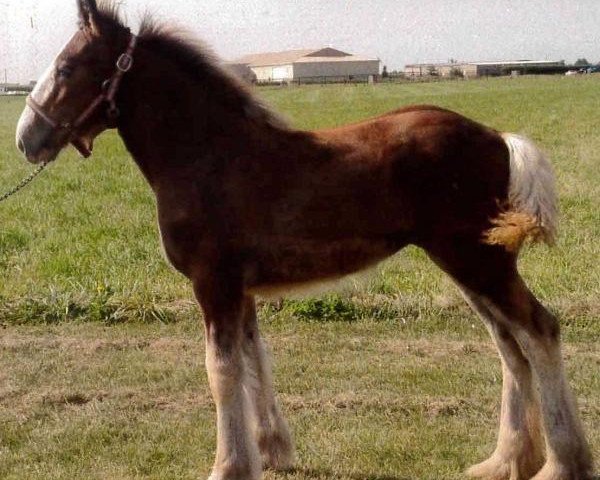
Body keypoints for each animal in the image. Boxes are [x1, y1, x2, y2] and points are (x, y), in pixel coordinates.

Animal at [14, 1, 592, 478]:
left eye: (66, 68)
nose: (26, 139)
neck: (209, 157)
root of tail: (498, 138)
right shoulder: (241, 289)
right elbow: (254, 360)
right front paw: (271, 451)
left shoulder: (213, 283)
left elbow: (220, 370)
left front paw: (228, 466)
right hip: (469, 264)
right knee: (509, 345)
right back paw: (506, 460)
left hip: (476, 260)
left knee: (539, 330)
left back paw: (562, 464)